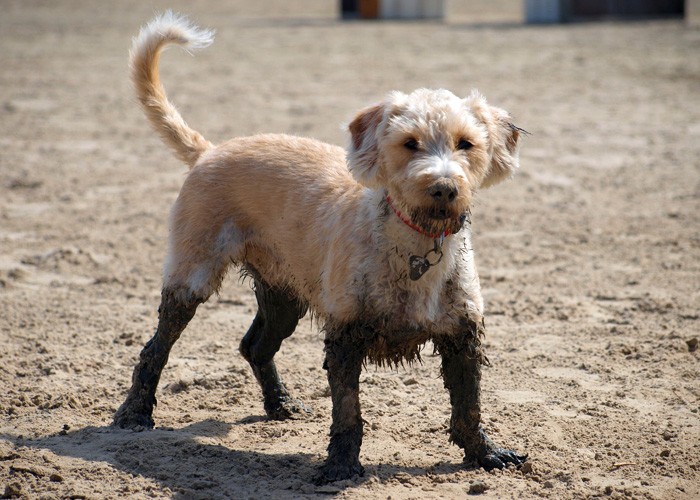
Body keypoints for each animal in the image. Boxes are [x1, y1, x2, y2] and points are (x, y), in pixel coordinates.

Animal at [115, 10, 528, 480]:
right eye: (409, 144)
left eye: (466, 144)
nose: (443, 188)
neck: (414, 248)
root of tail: (210, 151)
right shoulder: (345, 336)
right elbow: (348, 412)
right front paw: (341, 466)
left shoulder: (462, 336)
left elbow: (469, 407)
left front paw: (486, 454)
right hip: (191, 276)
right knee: (155, 348)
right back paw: (134, 414)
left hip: (283, 294)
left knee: (255, 346)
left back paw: (280, 404)